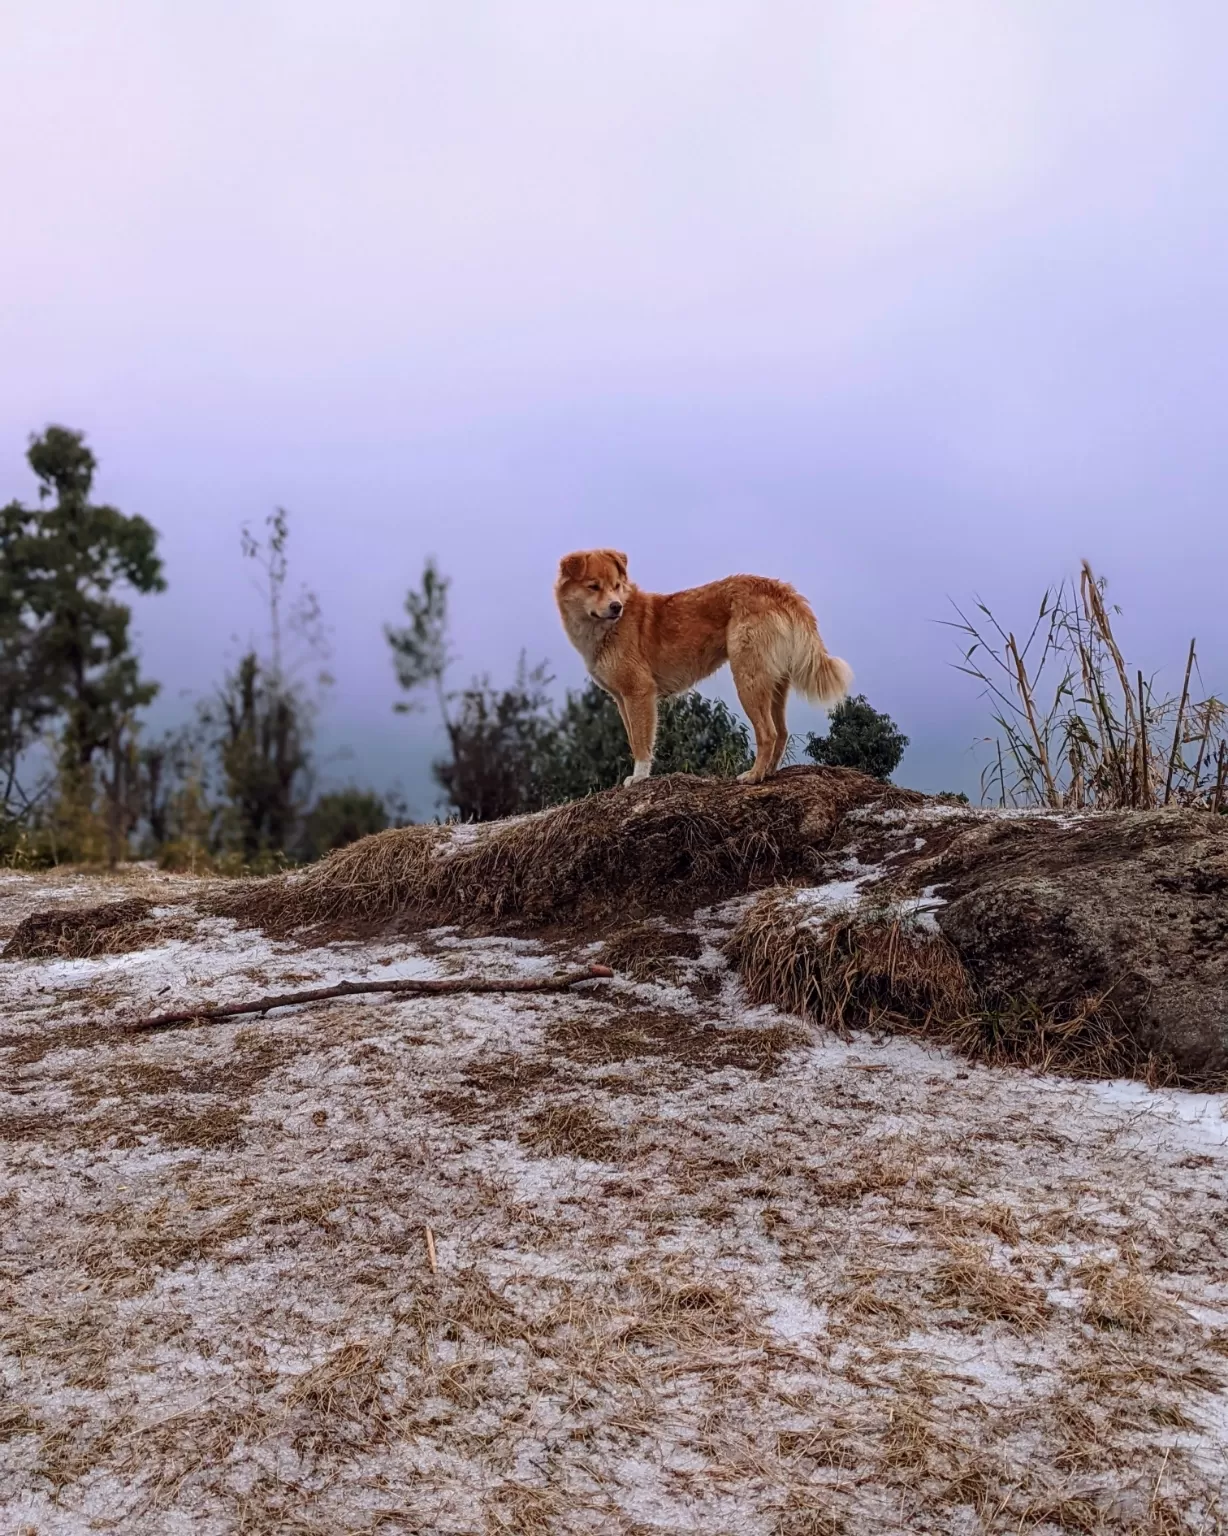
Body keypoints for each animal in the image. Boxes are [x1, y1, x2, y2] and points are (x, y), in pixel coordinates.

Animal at [553, 552, 848, 786]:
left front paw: (639, 777)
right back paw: (768, 774)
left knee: (768, 733)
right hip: (773, 682)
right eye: (594, 586)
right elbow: (634, 739)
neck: (607, 629)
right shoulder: (622, 699)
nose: (616, 606)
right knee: (782, 732)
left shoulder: (639, 692)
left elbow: (641, 741)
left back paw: (753, 776)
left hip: (748, 680)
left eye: (616, 586)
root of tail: (776, 587)